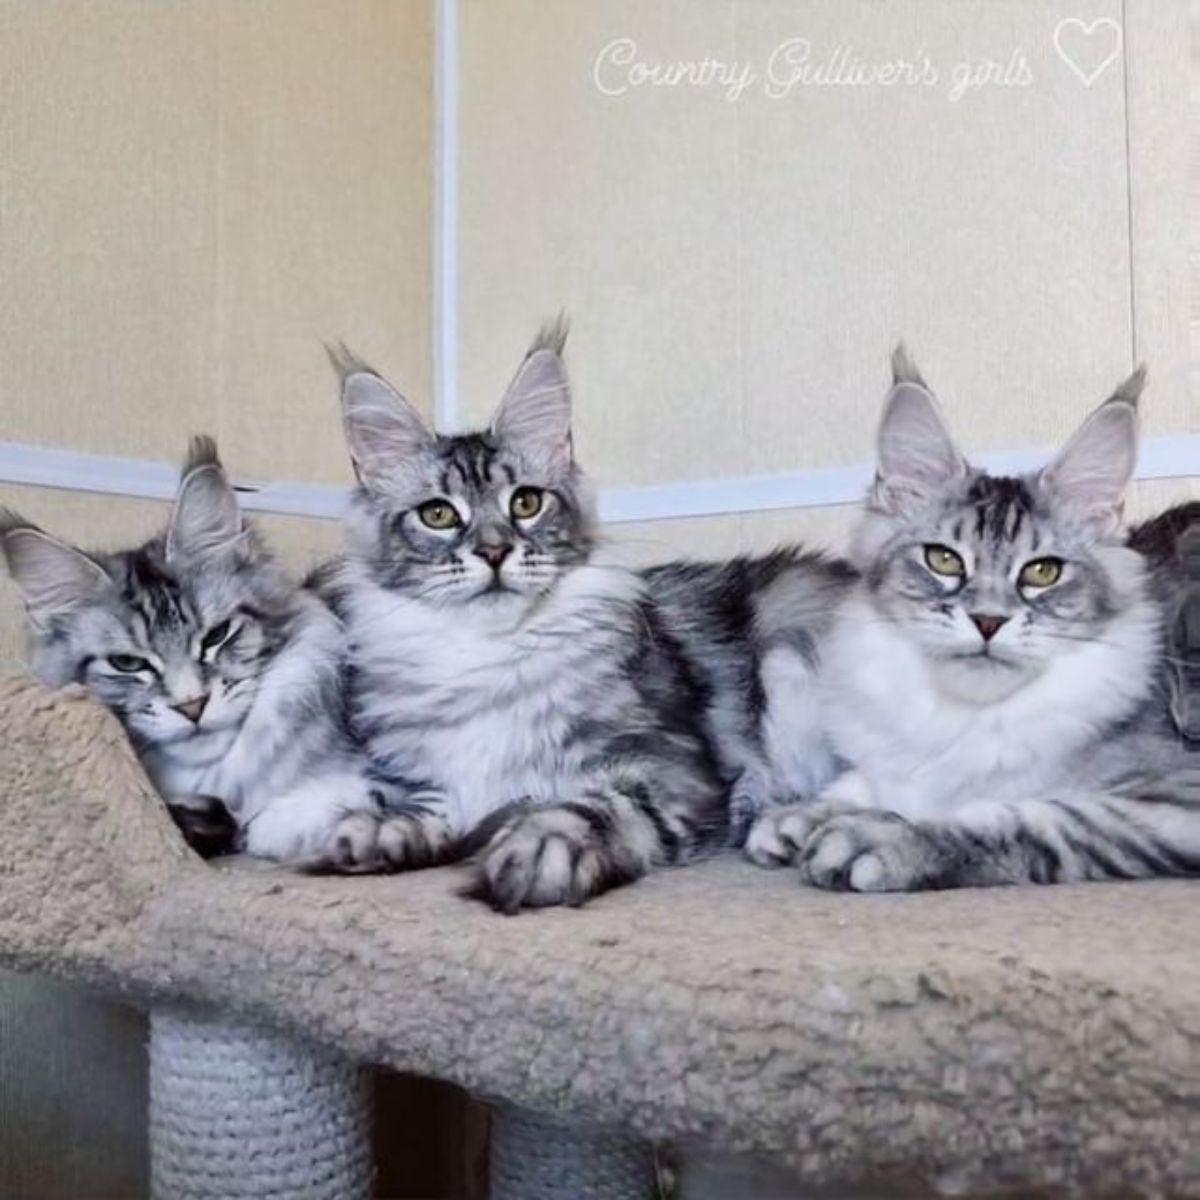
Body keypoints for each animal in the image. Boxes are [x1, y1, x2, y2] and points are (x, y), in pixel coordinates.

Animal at [744, 348, 1195, 892]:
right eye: (943, 560)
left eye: (1042, 572)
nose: (987, 620)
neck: (972, 717)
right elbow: (865, 781)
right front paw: (803, 814)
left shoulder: (1175, 796)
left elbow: (1028, 818)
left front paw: (884, 837)